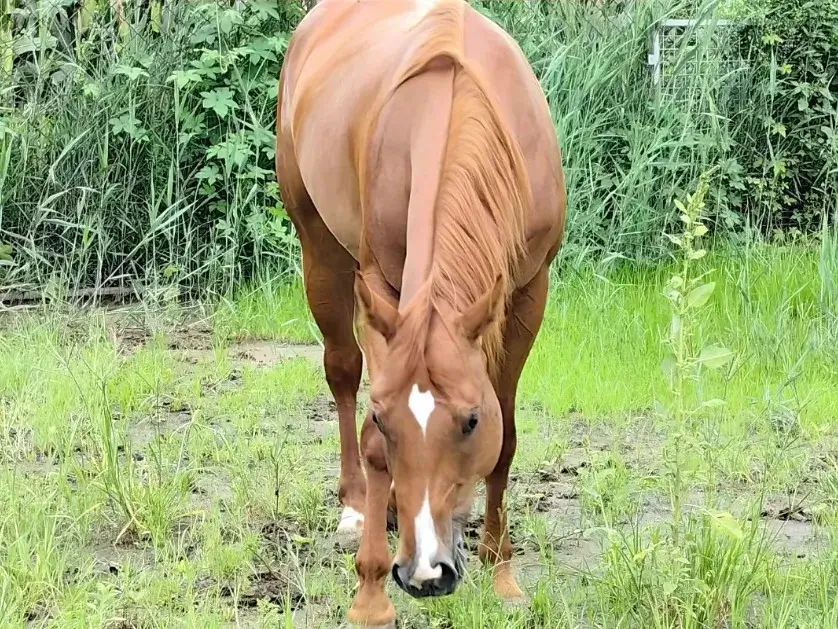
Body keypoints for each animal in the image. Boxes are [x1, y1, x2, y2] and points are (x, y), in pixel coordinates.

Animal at [275, 1, 566, 626]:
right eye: (388, 420)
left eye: (471, 421)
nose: (427, 573)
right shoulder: (381, 288)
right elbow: (371, 439)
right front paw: (371, 592)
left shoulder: (529, 291)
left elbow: (507, 434)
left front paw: (500, 569)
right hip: (319, 247)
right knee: (342, 371)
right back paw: (359, 506)